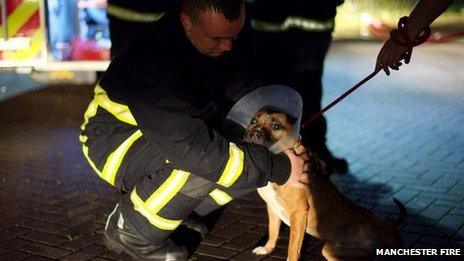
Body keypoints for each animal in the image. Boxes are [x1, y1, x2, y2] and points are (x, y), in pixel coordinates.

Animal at [245, 107, 404, 260]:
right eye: (253, 121)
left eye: (276, 126)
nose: (254, 133)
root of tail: (388, 225)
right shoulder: (272, 207)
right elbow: (273, 230)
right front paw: (267, 248)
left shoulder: (298, 213)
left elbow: (292, 249)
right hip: (333, 251)